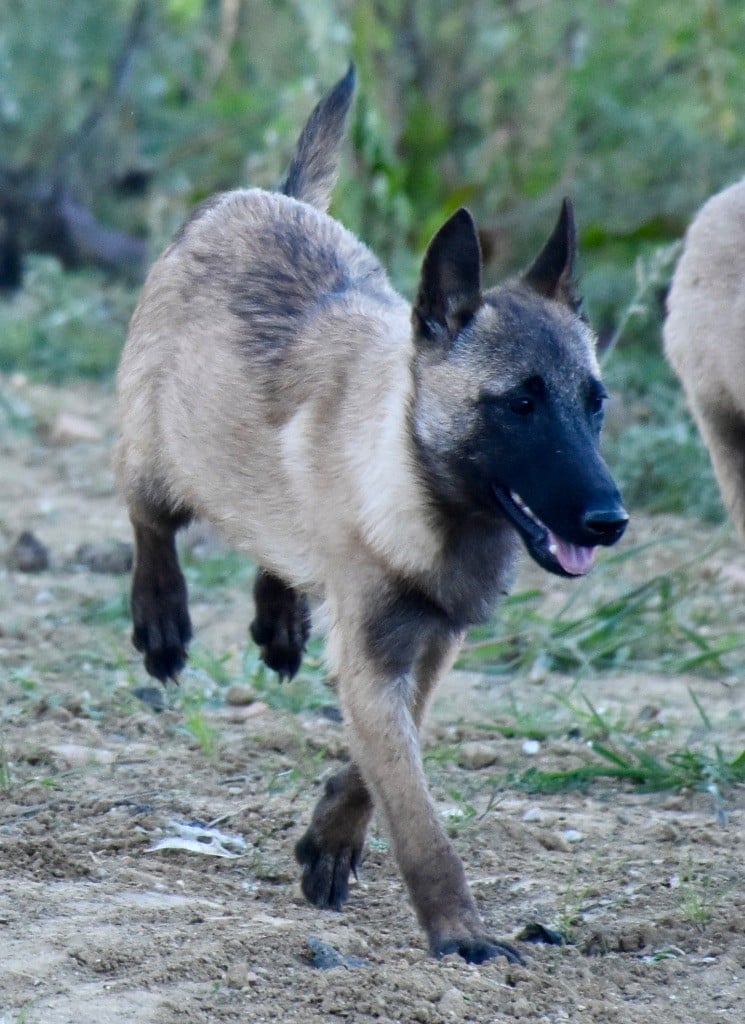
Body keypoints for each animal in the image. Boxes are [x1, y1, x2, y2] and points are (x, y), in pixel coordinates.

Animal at [115, 68, 630, 962]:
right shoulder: (373, 654)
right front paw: (459, 932)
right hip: (156, 449)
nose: (608, 519)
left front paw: (332, 835)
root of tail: (268, 195)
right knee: (151, 522)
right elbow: (417, 812)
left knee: (274, 543)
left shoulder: (423, 646)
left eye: (593, 403)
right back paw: (163, 619)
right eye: (520, 404)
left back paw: (279, 619)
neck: (426, 490)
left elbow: (389, 758)